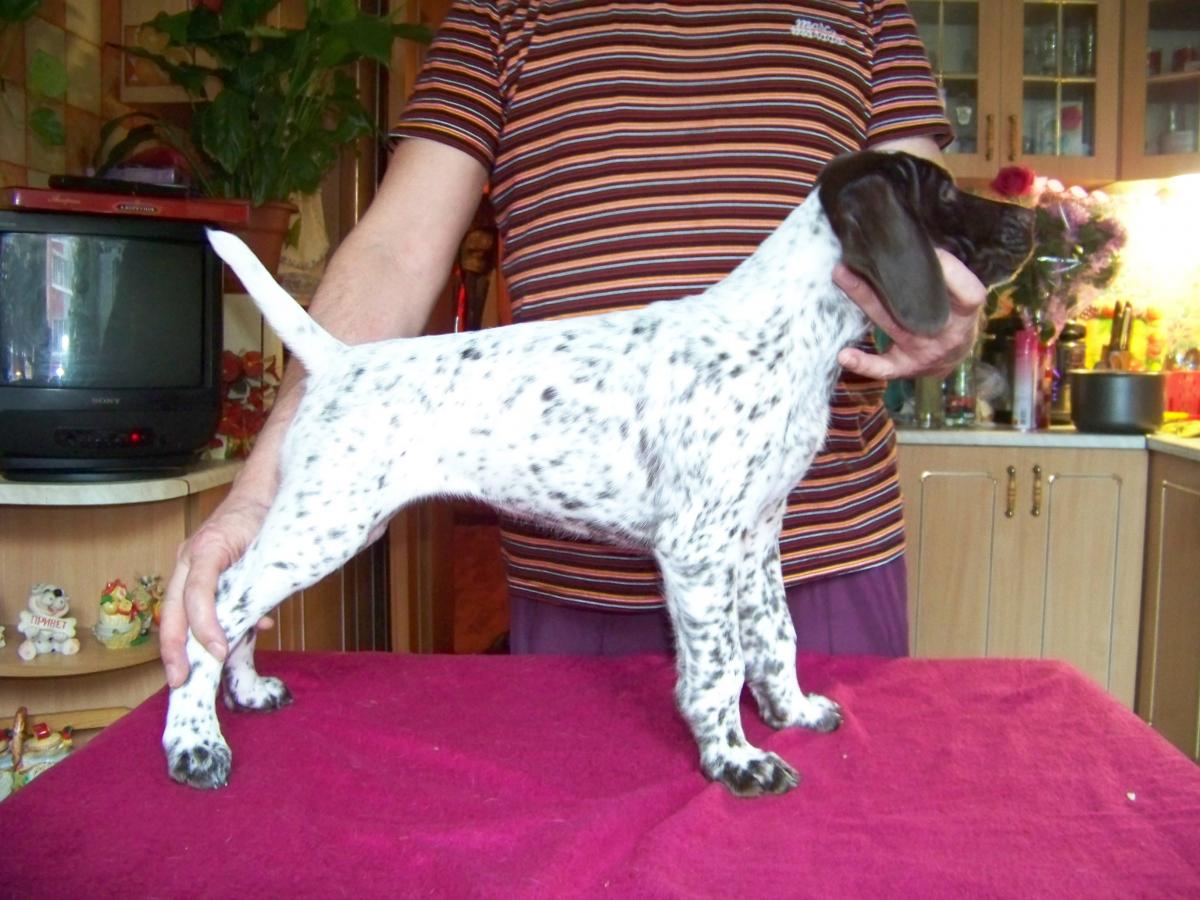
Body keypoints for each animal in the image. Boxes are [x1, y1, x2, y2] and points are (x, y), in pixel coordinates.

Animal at [164, 151, 1033, 797]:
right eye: (945, 190)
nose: (1033, 216)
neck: (780, 334)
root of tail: (340, 359)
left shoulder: (756, 540)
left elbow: (774, 639)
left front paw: (789, 713)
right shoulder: (696, 551)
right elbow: (717, 669)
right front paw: (735, 759)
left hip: (329, 521)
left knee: (238, 609)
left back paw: (247, 691)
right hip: (327, 523)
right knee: (222, 602)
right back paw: (194, 743)